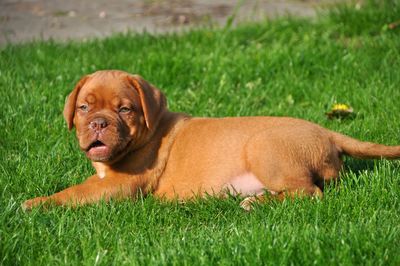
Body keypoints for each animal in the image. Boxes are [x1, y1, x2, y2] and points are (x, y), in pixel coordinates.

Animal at [22, 70, 400, 210]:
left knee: (310, 193)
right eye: (84, 107)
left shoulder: (121, 185)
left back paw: (254, 205)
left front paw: (35, 203)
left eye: (125, 109)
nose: (99, 123)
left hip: (264, 148)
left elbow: (74, 193)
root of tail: (326, 131)